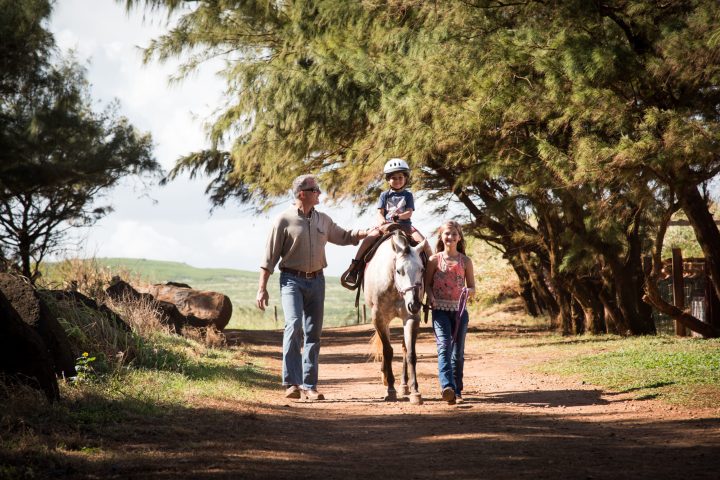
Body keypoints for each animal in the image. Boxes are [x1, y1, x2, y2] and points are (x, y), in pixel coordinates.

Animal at [366, 231, 428, 404]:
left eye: (422, 269)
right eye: (399, 271)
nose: (414, 304)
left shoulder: (411, 318)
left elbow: (411, 353)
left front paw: (415, 391)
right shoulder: (379, 319)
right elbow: (387, 351)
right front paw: (391, 389)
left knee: (405, 348)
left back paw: (404, 385)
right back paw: (386, 377)